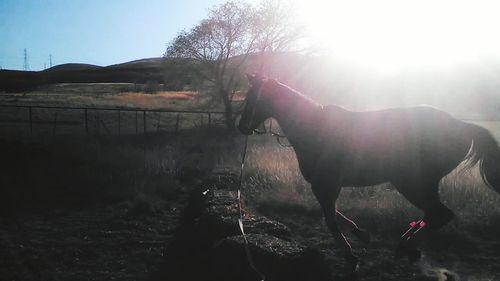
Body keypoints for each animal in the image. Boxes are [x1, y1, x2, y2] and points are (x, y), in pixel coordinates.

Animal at [238, 74, 500, 274]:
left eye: (253, 98)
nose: (241, 127)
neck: (314, 128)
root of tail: (462, 126)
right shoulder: (324, 186)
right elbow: (335, 216)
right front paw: (362, 235)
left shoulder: (326, 185)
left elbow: (331, 221)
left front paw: (351, 257)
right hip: (421, 184)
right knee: (432, 215)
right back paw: (407, 246)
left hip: (412, 183)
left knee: (440, 214)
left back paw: (407, 246)